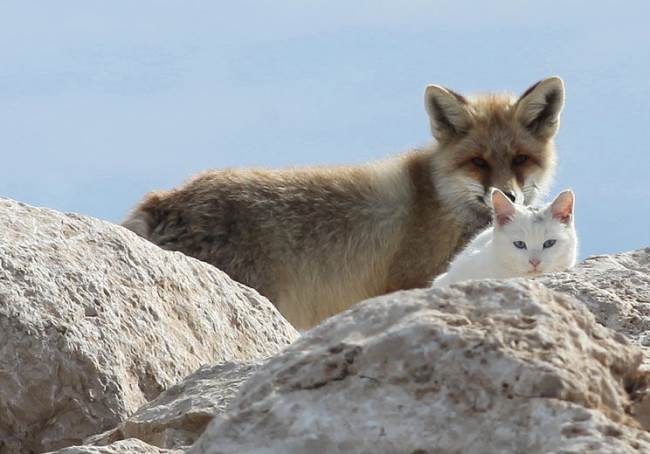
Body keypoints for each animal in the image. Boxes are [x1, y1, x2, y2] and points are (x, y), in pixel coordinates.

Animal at [121, 76, 560, 328]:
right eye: (478, 162)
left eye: (520, 159)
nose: (508, 195)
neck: (442, 199)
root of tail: (162, 198)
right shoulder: (408, 282)